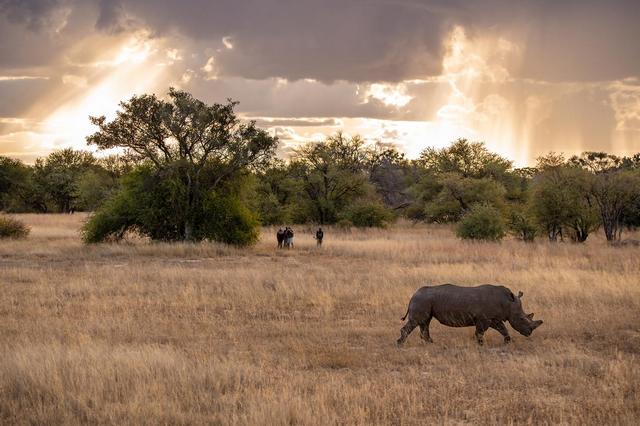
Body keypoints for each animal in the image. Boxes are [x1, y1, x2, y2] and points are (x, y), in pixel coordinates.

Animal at [397, 284, 543, 346]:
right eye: (522, 318)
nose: (529, 333)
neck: (507, 303)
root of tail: (413, 295)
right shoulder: (484, 319)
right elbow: (480, 332)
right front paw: (481, 344)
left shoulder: (493, 318)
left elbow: (503, 329)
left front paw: (507, 341)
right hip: (421, 300)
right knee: (418, 321)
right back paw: (400, 344)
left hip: (424, 301)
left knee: (425, 322)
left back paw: (431, 343)